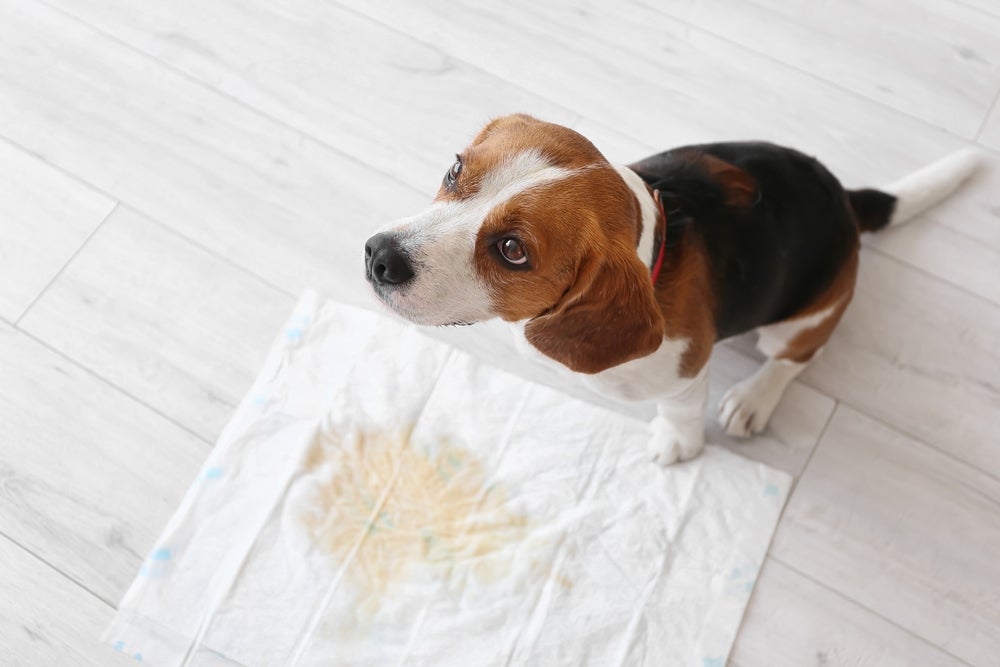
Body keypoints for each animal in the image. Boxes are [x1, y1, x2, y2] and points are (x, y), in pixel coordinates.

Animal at [362, 115, 976, 464]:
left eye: (513, 250)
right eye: (454, 169)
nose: (378, 257)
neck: (653, 247)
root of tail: (846, 199)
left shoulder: (686, 371)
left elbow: (680, 413)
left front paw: (677, 445)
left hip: (804, 319)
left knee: (795, 358)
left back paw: (754, 398)